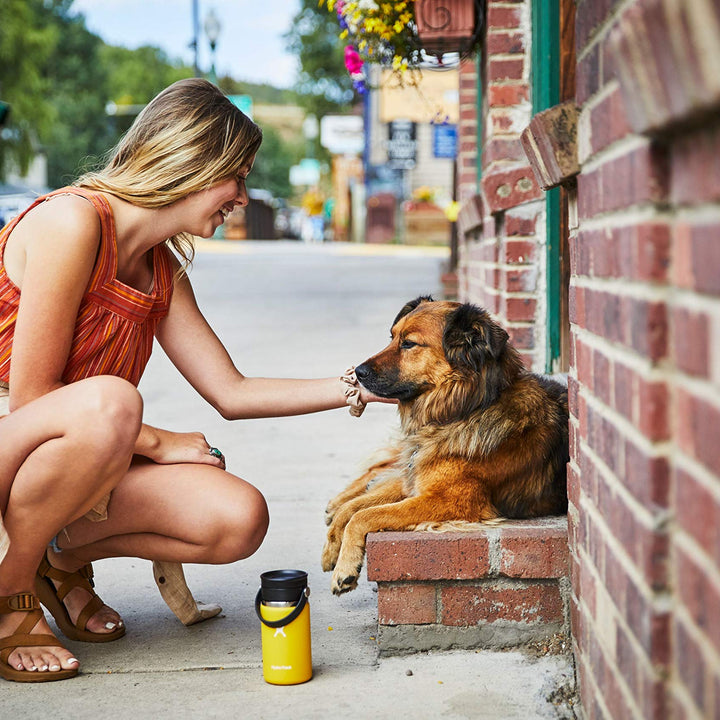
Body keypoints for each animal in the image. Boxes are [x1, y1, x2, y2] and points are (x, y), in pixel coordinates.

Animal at [324, 296, 572, 592]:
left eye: (409, 343)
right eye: (392, 337)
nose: (357, 373)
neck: (464, 410)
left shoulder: (448, 500)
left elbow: (364, 515)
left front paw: (344, 567)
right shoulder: (417, 480)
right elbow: (354, 510)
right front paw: (331, 549)